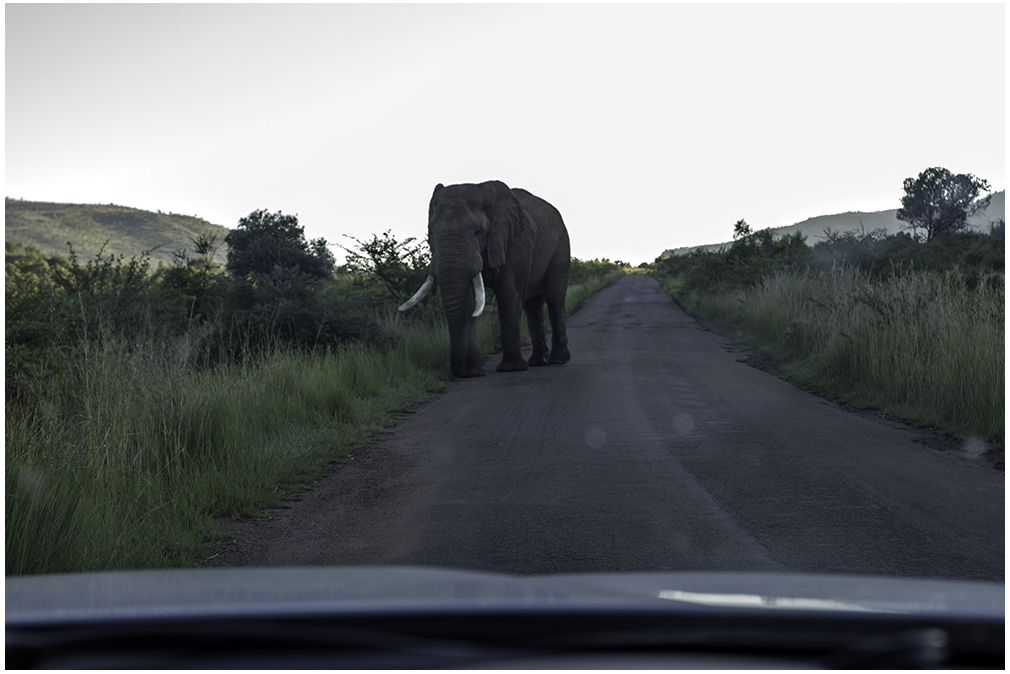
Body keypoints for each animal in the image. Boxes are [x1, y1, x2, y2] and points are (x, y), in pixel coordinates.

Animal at [399, 180, 573, 379]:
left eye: (478, 231)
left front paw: (511, 369)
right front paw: (473, 373)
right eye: (431, 233)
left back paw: (558, 360)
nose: (458, 373)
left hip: (561, 248)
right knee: (533, 306)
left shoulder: (517, 242)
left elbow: (508, 296)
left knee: (555, 300)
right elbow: (469, 302)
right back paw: (537, 362)